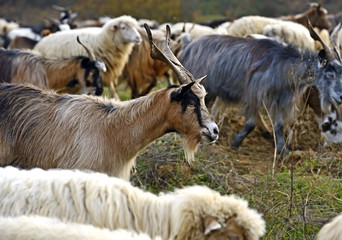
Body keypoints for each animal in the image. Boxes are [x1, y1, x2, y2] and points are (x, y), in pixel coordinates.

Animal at [179, 18, 342, 154]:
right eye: (330, 74)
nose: (340, 97)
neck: (283, 65)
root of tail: (189, 45)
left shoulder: (280, 100)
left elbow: (279, 125)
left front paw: (283, 150)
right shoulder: (254, 95)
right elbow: (251, 123)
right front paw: (235, 142)